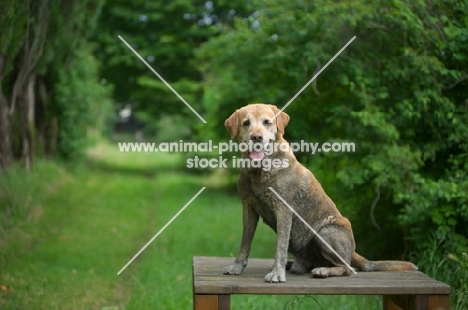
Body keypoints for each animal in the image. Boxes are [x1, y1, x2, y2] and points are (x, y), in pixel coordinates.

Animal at [223, 103, 416, 282]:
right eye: (246, 123)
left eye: (267, 122)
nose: (256, 137)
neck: (259, 172)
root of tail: (353, 252)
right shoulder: (248, 208)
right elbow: (245, 242)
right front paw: (237, 266)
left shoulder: (284, 210)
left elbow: (280, 247)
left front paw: (277, 273)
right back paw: (296, 265)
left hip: (325, 232)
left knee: (347, 268)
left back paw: (323, 270)